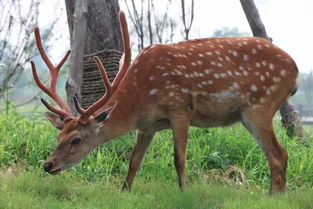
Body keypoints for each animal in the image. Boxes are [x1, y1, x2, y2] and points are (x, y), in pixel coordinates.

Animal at [31, 11, 298, 194]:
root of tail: (294, 70)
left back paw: (274, 197)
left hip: (260, 105)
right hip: (246, 114)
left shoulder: (179, 109)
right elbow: (134, 161)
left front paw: (183, 193)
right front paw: (124, 191)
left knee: (278, 155)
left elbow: (179, 159)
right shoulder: (147, 126)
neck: (140, 99)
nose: (48, 164)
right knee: (278, 155)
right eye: (58, 135)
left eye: (76, 139)